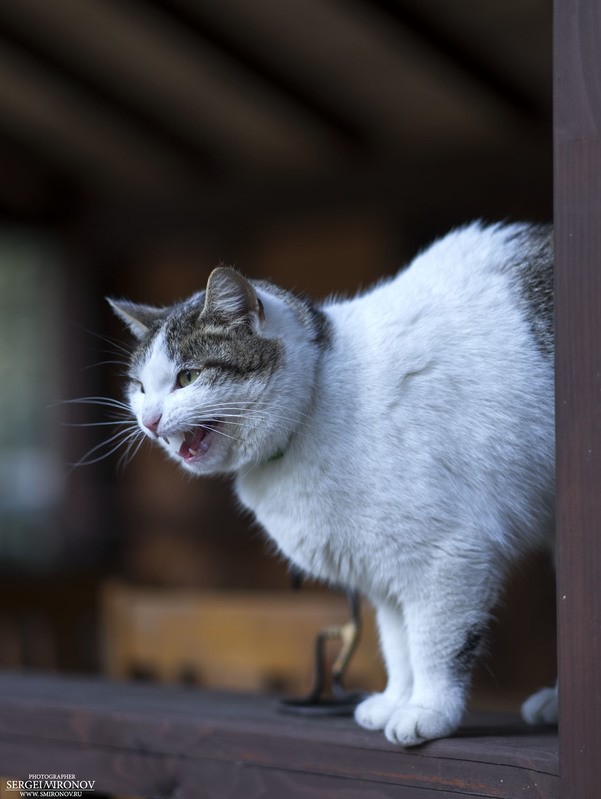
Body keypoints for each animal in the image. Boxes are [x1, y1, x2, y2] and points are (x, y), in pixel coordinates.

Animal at [110, 222, 556, 748]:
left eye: (188, 376)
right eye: (140, 387)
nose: (150, 420)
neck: (315, 402)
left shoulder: (446, 556)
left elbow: (432, 645)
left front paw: (426, 711)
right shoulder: (384, 571)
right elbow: (397, 643)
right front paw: (394, 700)